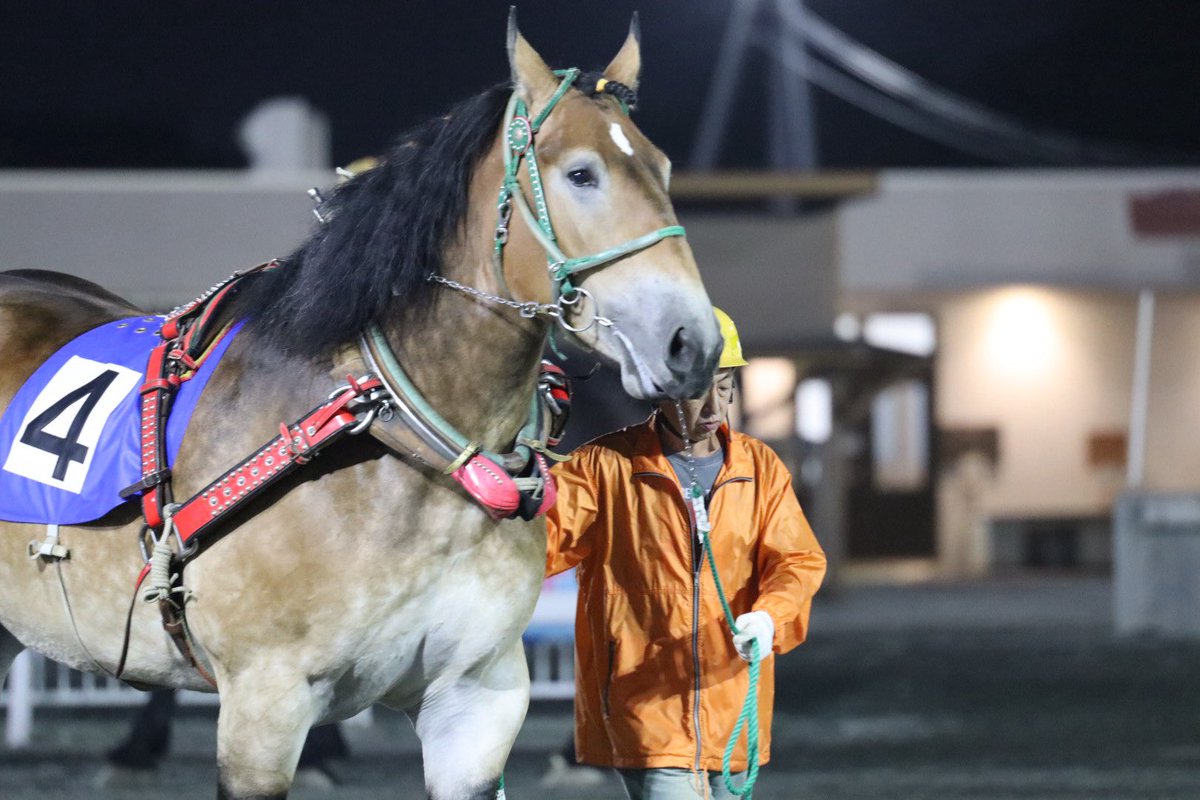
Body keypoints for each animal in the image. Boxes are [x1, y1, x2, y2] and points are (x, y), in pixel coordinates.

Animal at [0, 13, 720, 800]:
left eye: (664, 169)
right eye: (581, 174)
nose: (692, 341)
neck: (404, 440)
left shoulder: (475, 703)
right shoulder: (263, 706)